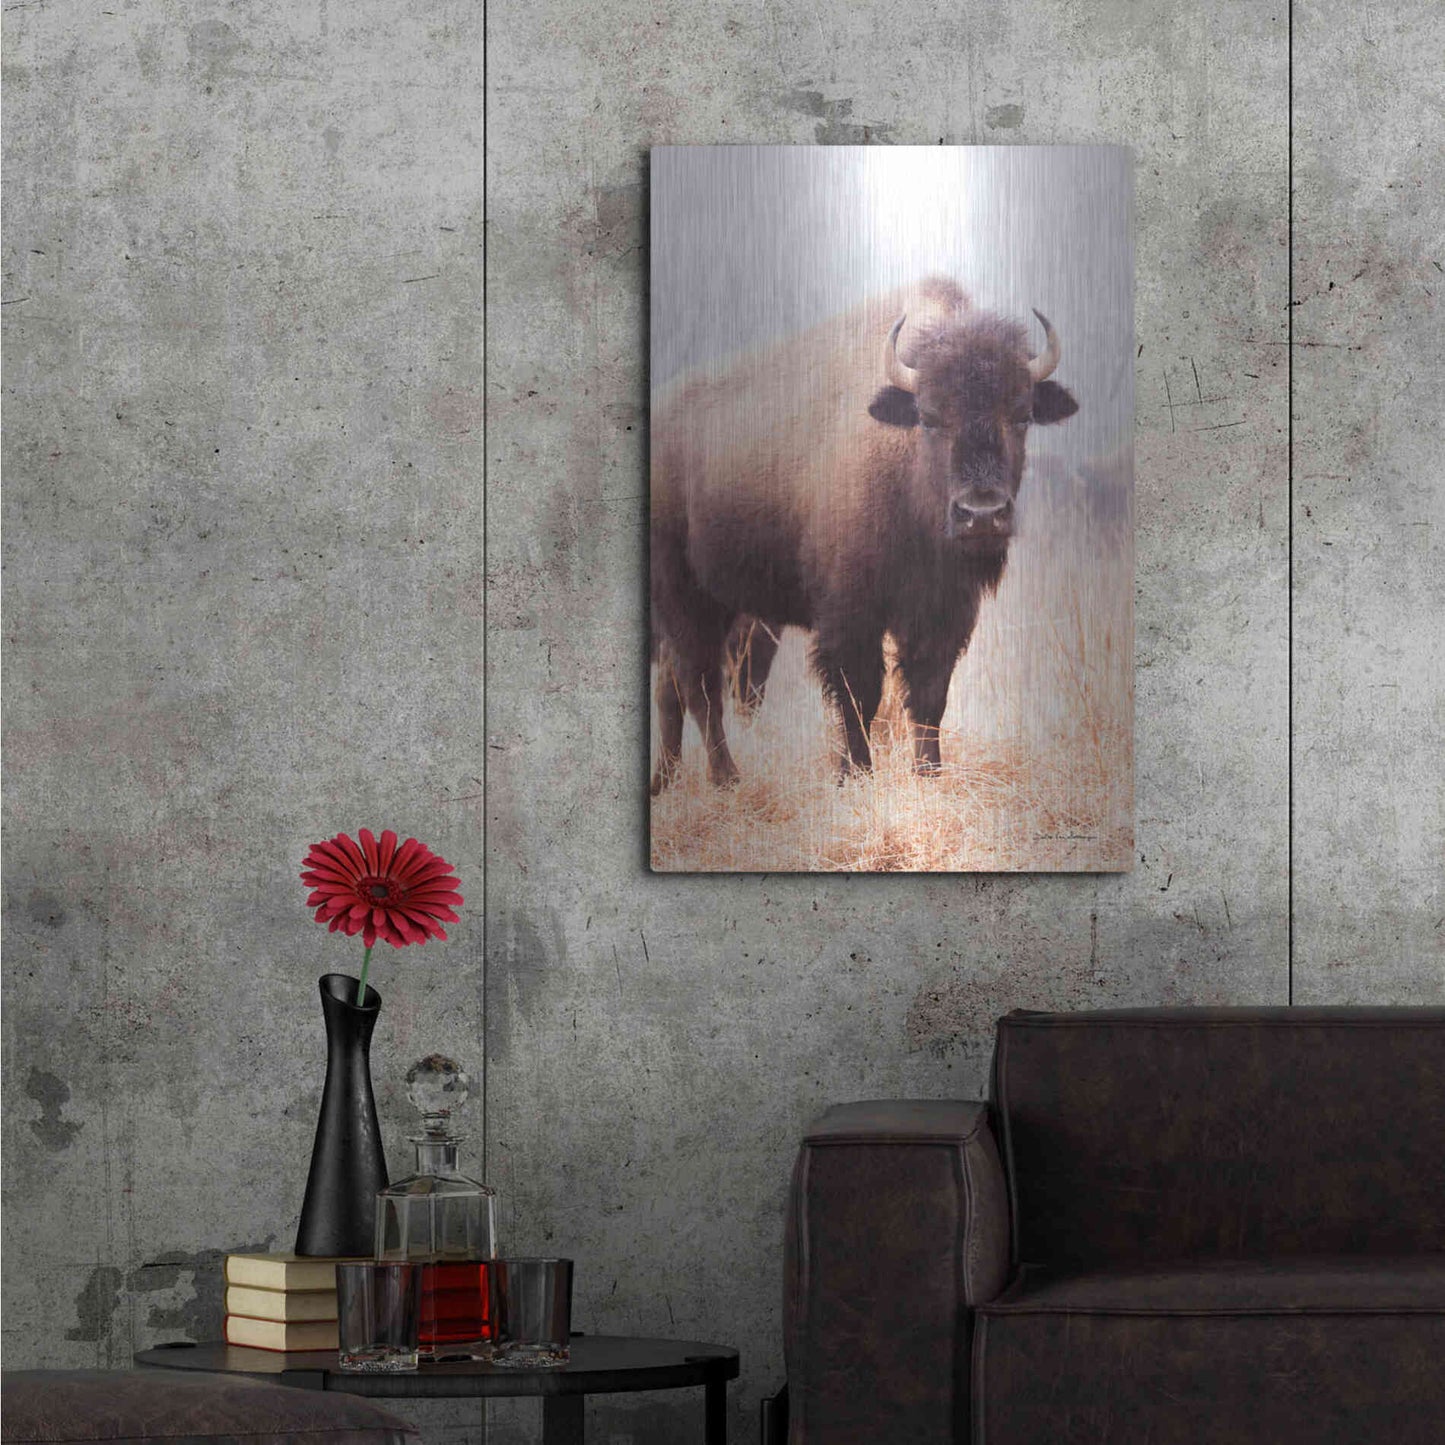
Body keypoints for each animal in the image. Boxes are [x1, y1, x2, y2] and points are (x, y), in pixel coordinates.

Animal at [650, 277, 1078, 793]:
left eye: (1021, 416)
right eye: (930, 417)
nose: (982, 514)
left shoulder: (943, 612)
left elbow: (929, 695)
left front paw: (929, 776)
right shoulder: (850, 613)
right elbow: (860, 694)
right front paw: (854, 774)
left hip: (721, 602)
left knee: (674, 688)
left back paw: (666, 781)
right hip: (684, 597)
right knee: (700, 686)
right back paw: (725, 778)